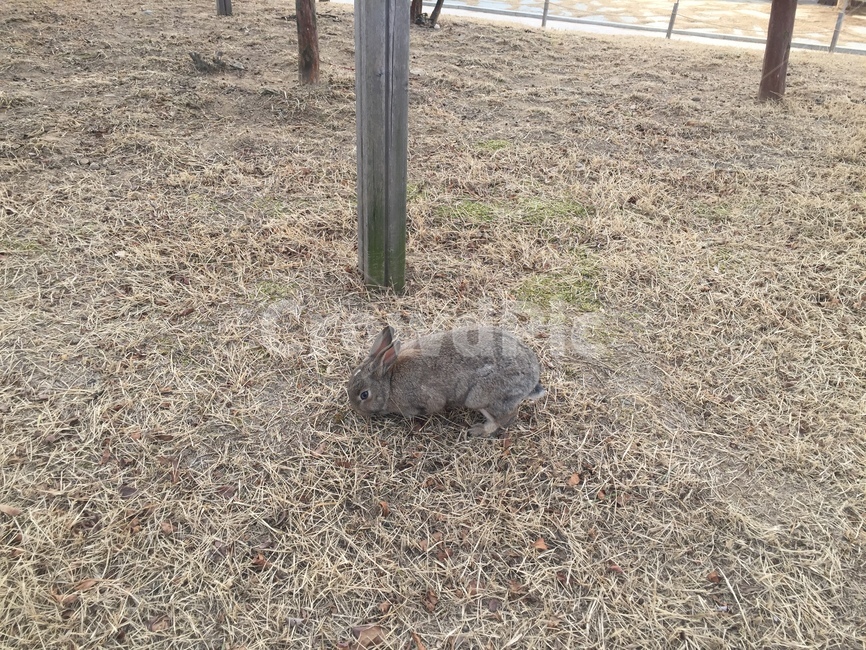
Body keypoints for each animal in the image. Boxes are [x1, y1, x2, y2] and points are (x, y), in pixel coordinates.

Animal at [348, 325, 545, 436]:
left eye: (364, 395)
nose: (356, 411)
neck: (388, 382)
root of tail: (533, 377)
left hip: (481, 397)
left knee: (507, 417)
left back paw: (478, 431)